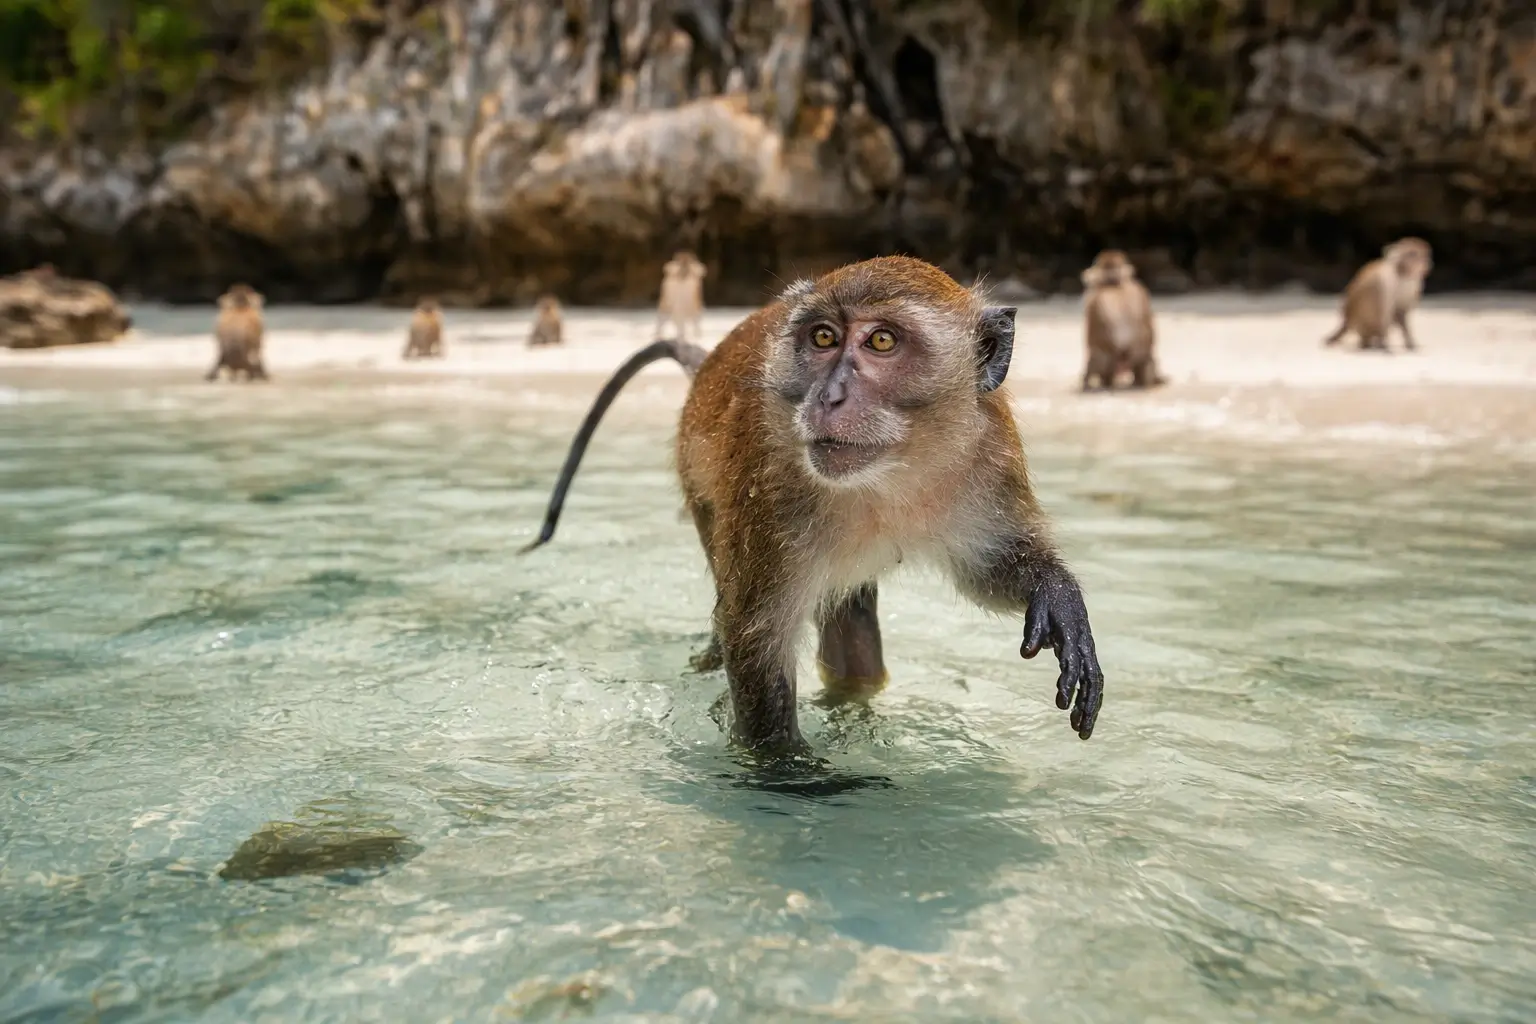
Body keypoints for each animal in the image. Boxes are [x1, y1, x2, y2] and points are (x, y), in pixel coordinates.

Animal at [521, 256, 1105, 753]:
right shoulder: (770, 486)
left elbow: (987, 568)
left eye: (882, 340)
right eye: (823, 337)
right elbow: (754, 635)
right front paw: (791, 776)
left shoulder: (991, 454)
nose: (828, 396)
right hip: (701, 488)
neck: (892, 470)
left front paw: (1055, 592)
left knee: (853, 629)